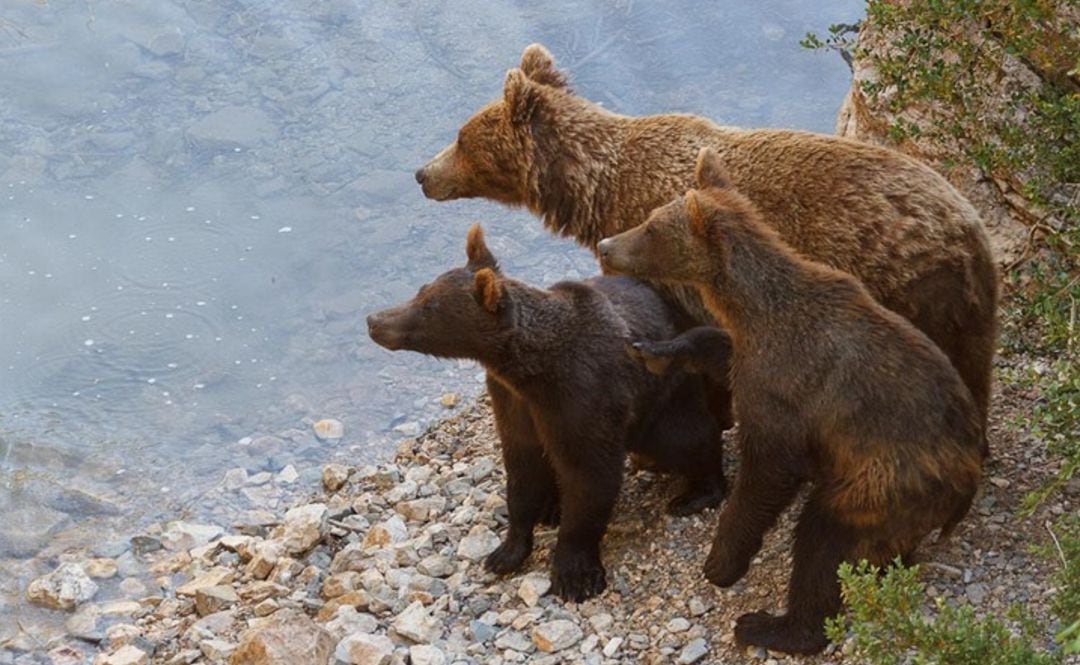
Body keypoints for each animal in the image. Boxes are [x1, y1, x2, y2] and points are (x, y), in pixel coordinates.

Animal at [367, 224, 730, 604]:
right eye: (422, 291)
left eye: (429, 308)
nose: (374, 321)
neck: (529, 371)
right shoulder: (513, 403)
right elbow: (522, 472)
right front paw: (505, 552)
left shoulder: (581, 396)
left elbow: (588, 477)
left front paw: (575, 576)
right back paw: (551, 507)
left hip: (665, 390)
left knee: (685, 437)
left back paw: (696, 492)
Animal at [412, 44, 993, 455]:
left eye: (461, 138)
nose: (421, 173)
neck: (599, 190)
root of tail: (965, 228)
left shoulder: (669, 261)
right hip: (972, 303)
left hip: (909, 284)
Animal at [600, 147, 989, 652]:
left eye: (650, 227)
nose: (605, 245)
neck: (755, 306)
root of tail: (966, 484)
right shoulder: (750, 351)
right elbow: (717, 348)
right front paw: (656, 349)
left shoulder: (785, 383)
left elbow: (769, 468)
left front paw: (721, 562)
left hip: (885, 480)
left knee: (824, 541)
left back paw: (771, 625)